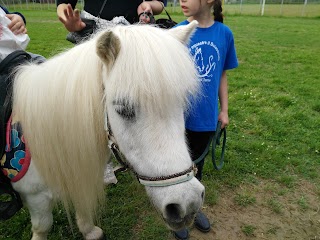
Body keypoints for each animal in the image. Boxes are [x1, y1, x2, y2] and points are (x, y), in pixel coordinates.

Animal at [10, 21, 205, 240]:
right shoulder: (35, 195)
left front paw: (89, 230)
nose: (188, 203)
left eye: (182, 103)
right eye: (123, 109)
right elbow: (43, 226)